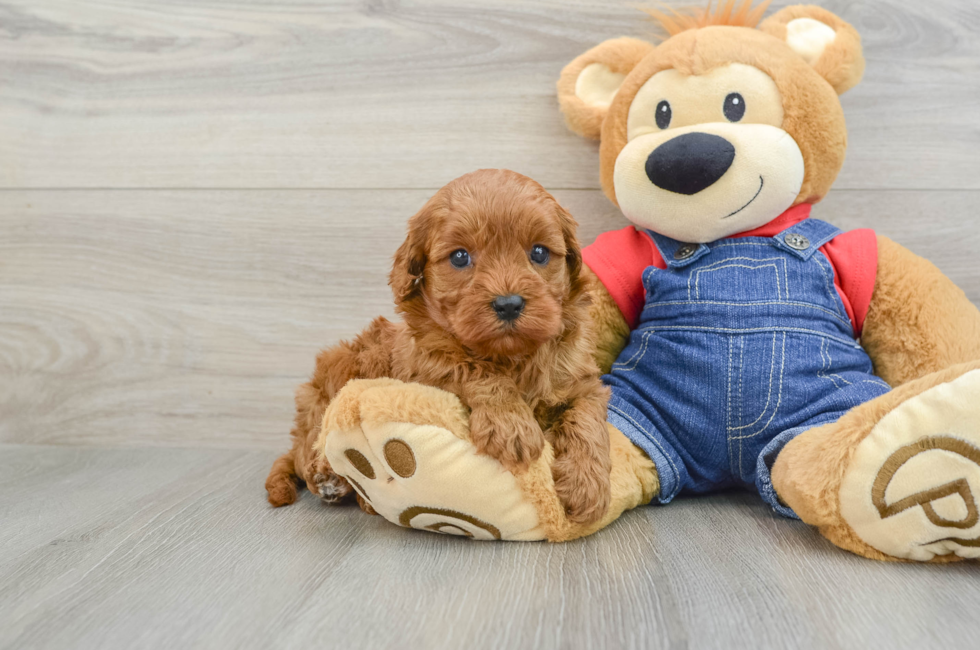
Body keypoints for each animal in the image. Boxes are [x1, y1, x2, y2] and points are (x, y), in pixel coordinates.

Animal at [264, 167, 608, 520]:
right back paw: (334, 480)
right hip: (345, 369)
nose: (508, 304)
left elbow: (587, 418)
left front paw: (588, 486)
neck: (509, 356)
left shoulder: (581, 380)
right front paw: (511, 425)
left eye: (539, 252)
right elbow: (475, 370)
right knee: (309, 449)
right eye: (459, 257)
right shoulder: (427, 364)